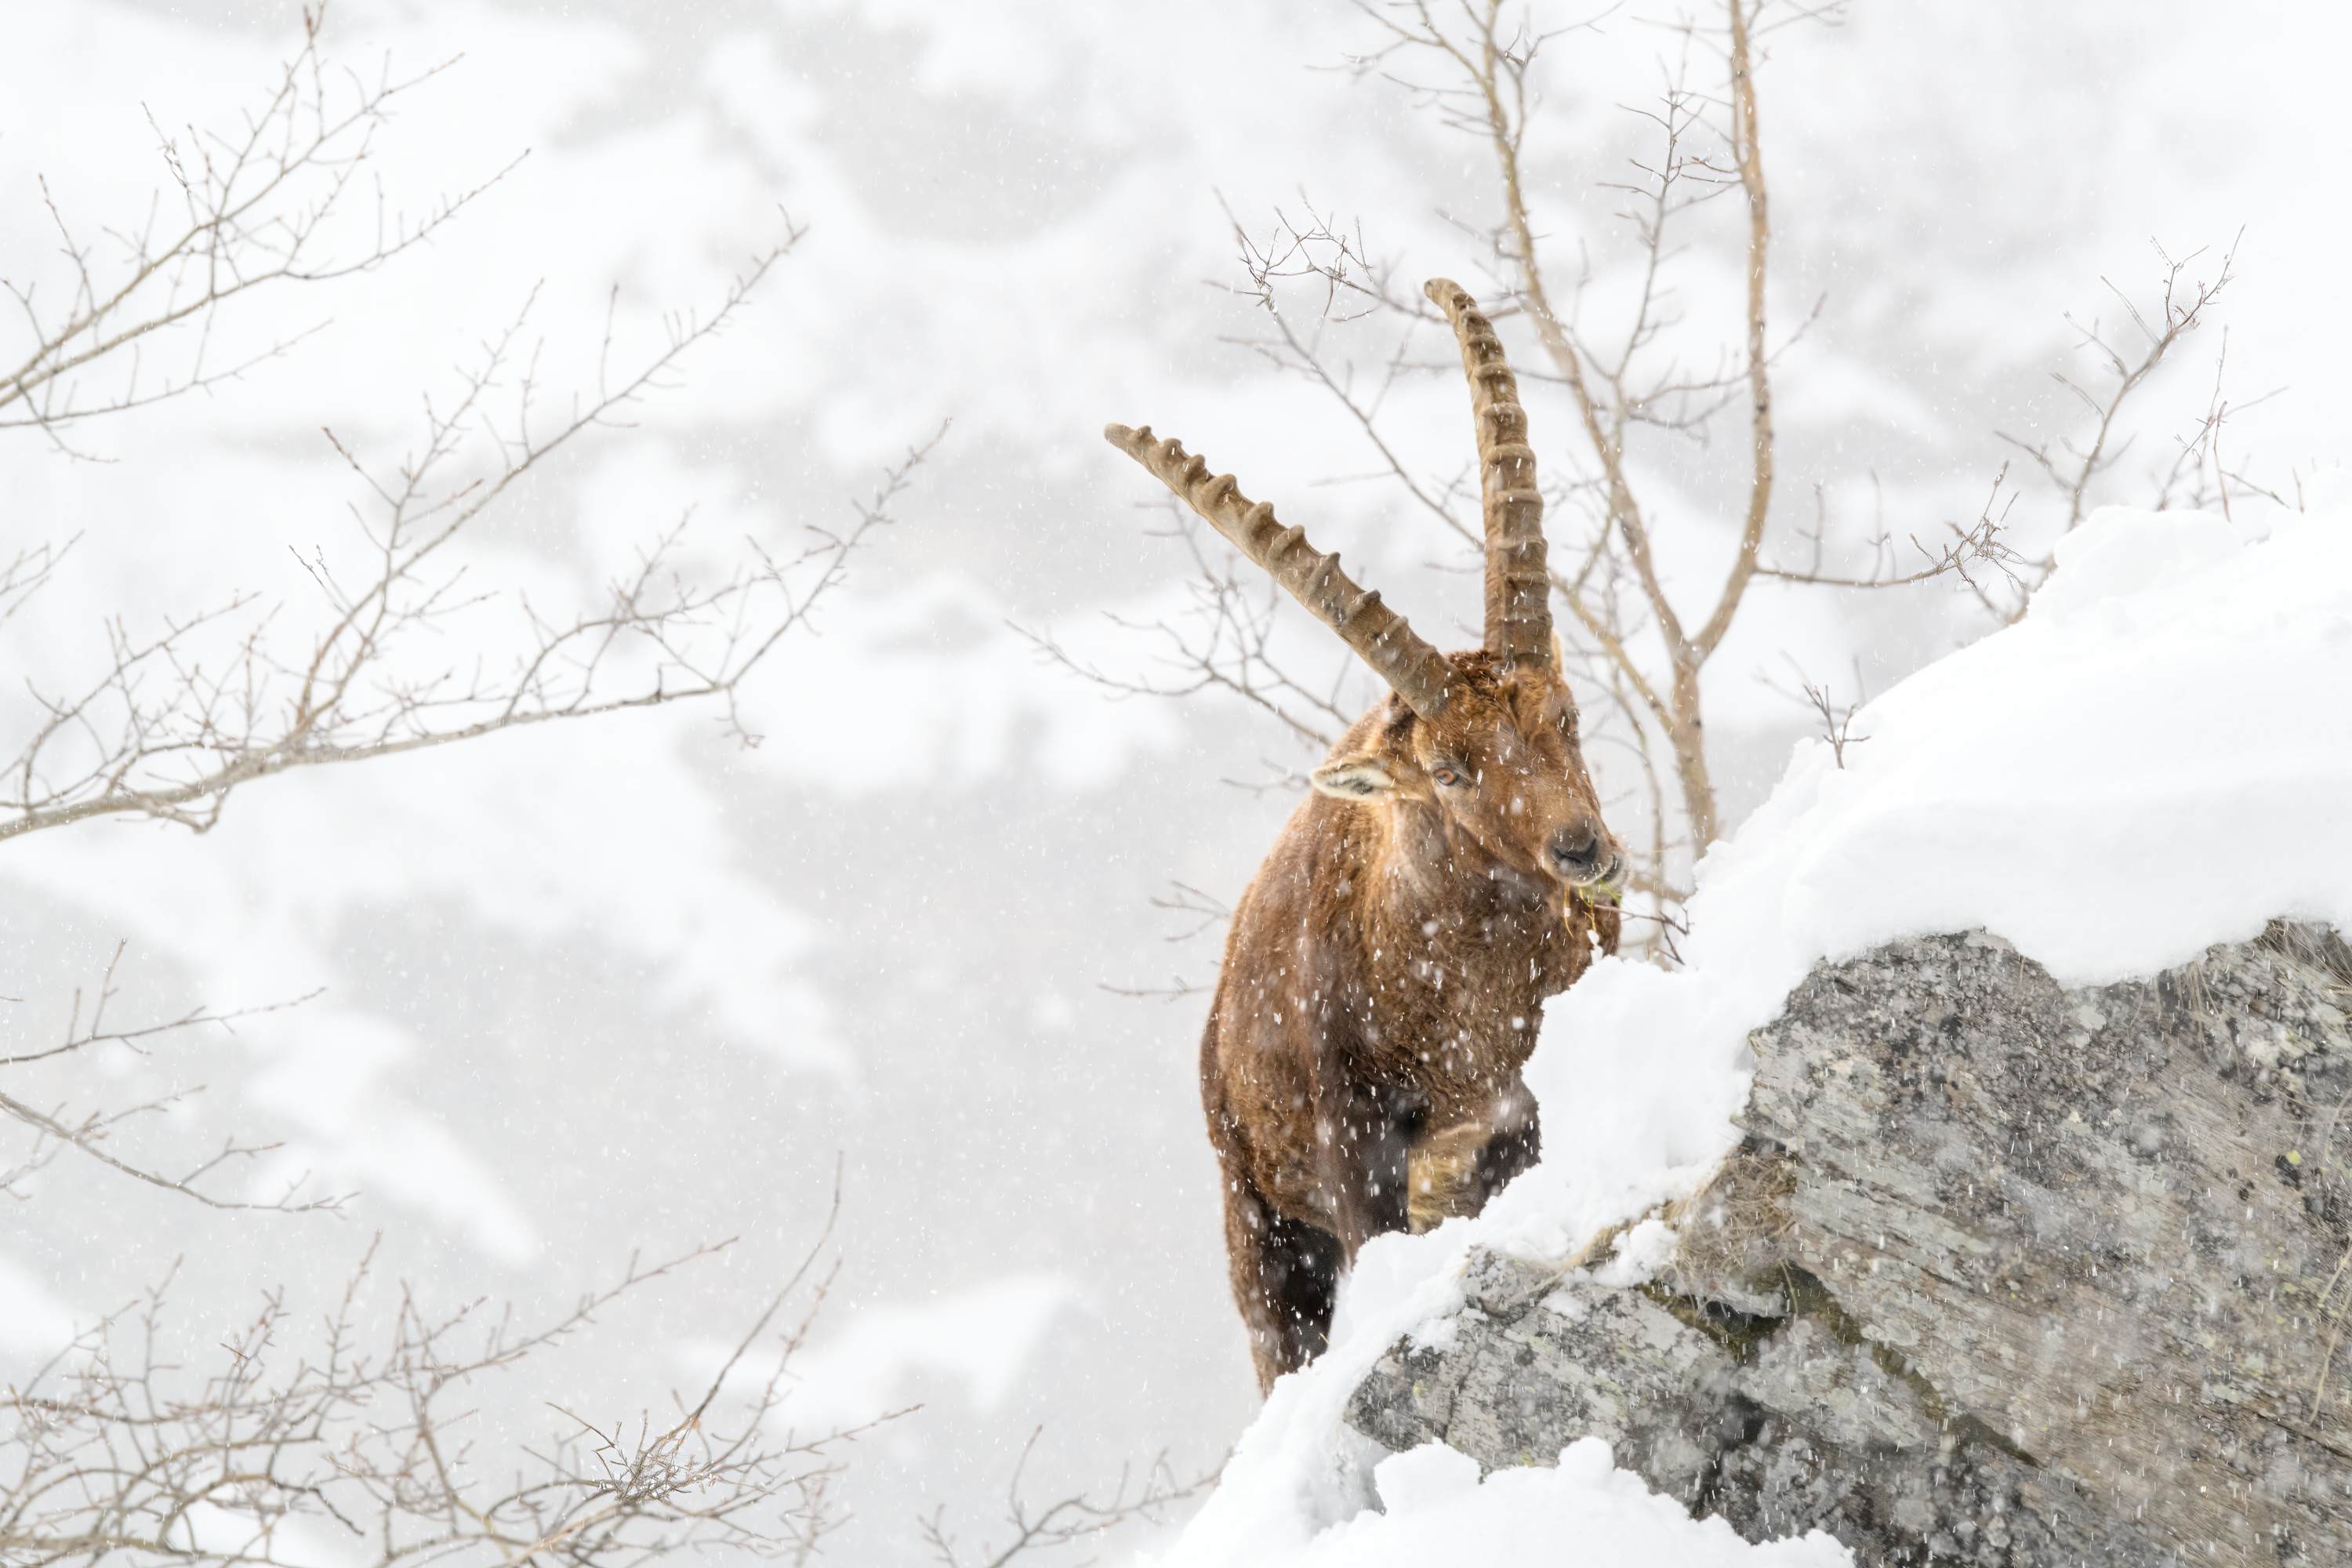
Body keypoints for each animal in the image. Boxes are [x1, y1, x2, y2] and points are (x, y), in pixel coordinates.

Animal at [1105, 280, 1623, 1393]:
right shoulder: (1356, 1154)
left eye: (1562, 713)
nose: (1583, 852)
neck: (1469, 993)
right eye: (1450, 768)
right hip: (1258, 1216)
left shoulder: (1519, 1115)